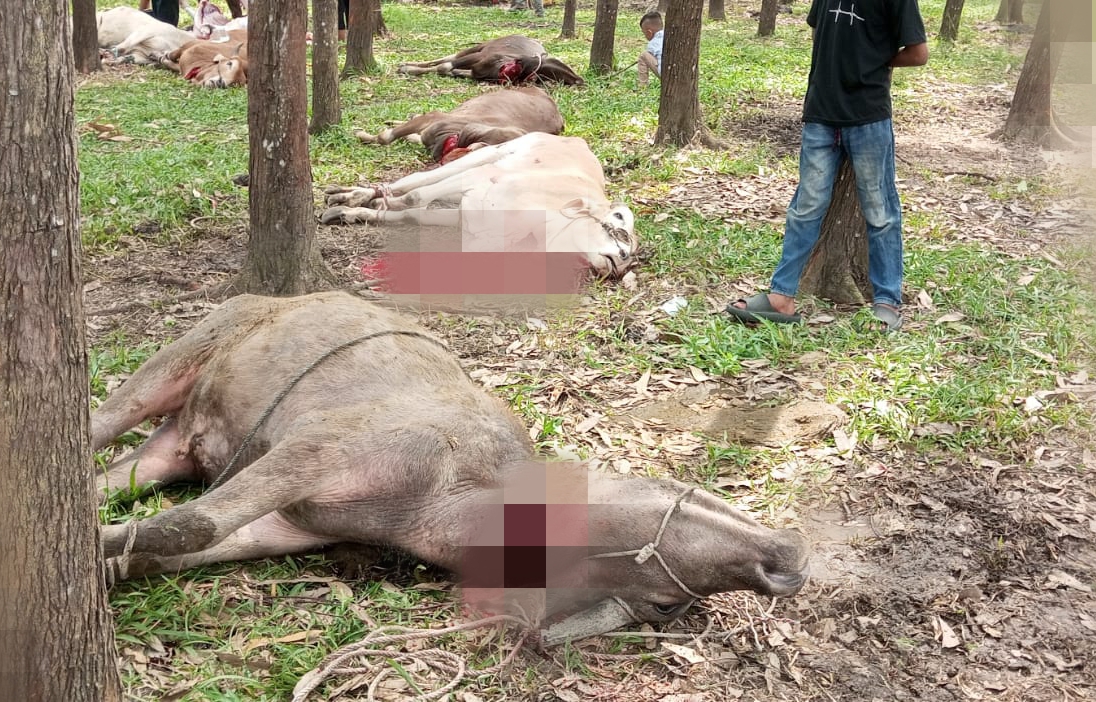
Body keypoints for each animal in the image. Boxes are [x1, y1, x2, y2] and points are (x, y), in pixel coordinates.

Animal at [96, 291, 815, 648]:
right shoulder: (320, 445)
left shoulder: (292, 525)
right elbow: (191, 525)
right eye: (665, 488)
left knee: (120, 472)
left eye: (664, 608)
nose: (790, 555)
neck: (430, 507)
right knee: (98, 419)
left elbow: (166, 547)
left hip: (169, 447)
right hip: (181, 356)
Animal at [320, 132, 640, 280]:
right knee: (415, 181)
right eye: (618, 219)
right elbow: (415, 198)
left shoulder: (464, 218)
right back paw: (356, 194)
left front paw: (354, 213)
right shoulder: (480, 180)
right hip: (487, 156)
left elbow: (412, 215)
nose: (623, 258)